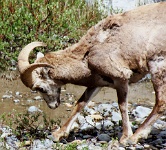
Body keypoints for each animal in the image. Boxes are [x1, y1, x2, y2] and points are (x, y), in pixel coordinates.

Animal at [17, 2, 165, 145]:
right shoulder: (97, 83)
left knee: (161, 104)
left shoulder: (121, 79)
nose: (52, 106)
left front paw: (124, 138)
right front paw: (58, 134)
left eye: (40, 88)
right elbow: (80, 104)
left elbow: (122, 106)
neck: (88, 54)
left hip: (158, 66)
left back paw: (134, 137)